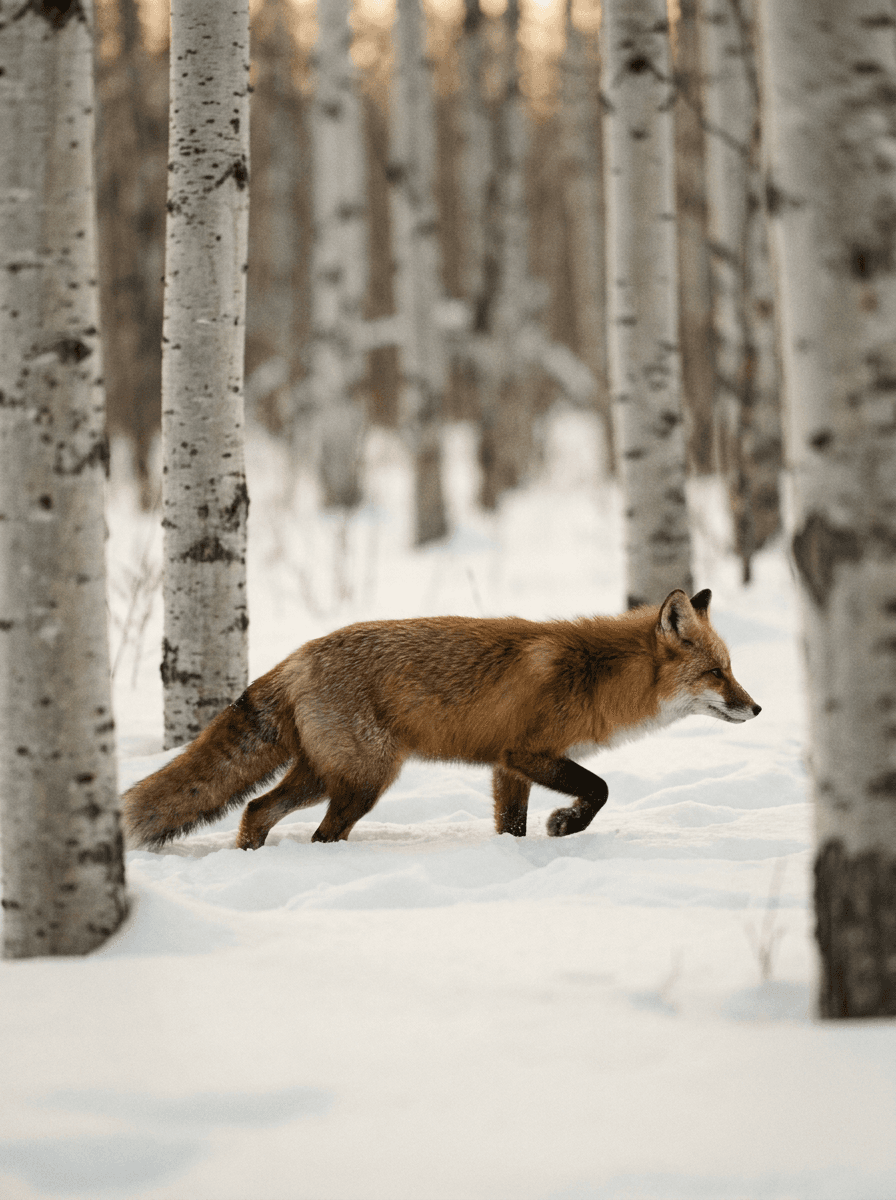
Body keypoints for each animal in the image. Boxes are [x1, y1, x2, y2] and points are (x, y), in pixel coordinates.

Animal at [121, 588, 760, 851]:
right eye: (716, 673)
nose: (757, 708)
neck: (594, 673)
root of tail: (297, 656)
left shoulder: (508, 768)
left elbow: (512, 827)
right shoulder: (527, 753)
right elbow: (599, 789)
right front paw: (565, 826)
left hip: (323, 776)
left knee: (255, 809)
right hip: (363, 780)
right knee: (318, 831)